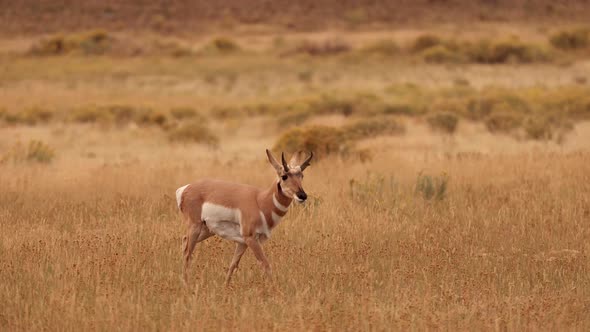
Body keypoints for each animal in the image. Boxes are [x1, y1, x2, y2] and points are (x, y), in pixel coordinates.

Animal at [177, 149, 312, 284]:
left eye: (301, 176)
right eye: (284, 176)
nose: (302, 195)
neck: (260, 201)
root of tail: (185, 189)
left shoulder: (242, 242)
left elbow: (233, 265)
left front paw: (225, 286)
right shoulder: (251, 239)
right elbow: (265, 264)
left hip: (206, 230)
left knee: (184, 240)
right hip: (195, 226)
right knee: (187, 252)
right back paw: (186, 284)